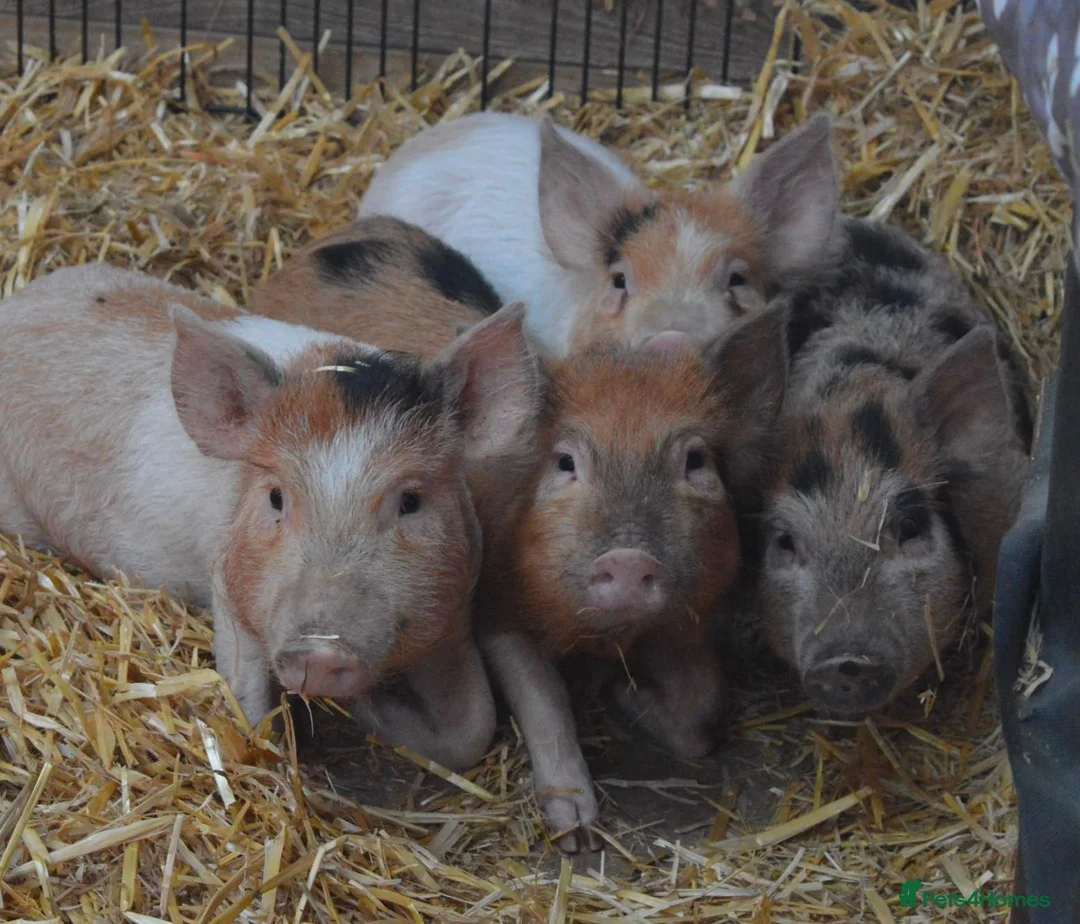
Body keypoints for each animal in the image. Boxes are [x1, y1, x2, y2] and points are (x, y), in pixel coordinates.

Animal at [0, 264, 541, 771]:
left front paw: (373, 709)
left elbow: (473, 728)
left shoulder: (456, 607)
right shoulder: (229, 585)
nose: (319, 651)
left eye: (411, 500)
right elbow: (252, 710)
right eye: (277, 497)